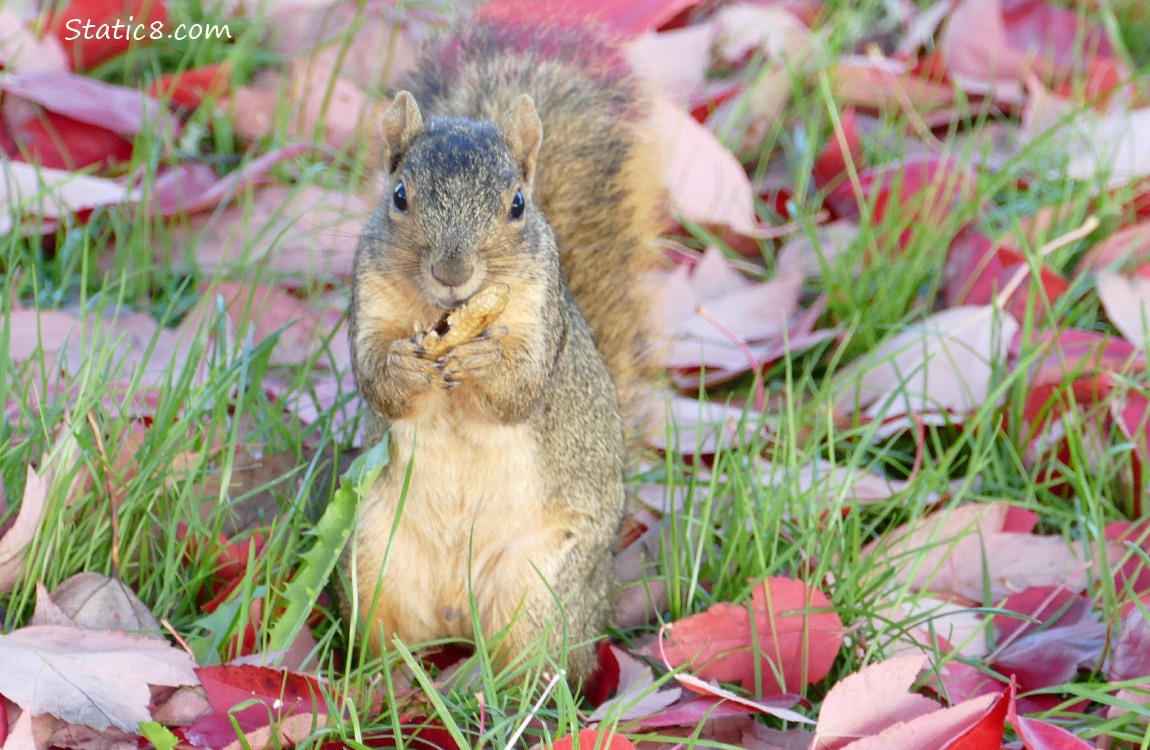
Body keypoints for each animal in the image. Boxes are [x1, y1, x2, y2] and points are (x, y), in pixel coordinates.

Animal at [345, 21, 662, 685]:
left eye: (517, 204)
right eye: (399, 195)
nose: (452, 273)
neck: (443, 317)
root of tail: (454, 611)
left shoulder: (541, 316)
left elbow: (523, 389)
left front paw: (484, 364)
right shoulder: (369, 295)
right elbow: (374, 377)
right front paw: (405, 366)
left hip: (542, 588)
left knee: (539, 666)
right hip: (371, 560)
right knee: (386, 642)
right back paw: (372, 685)